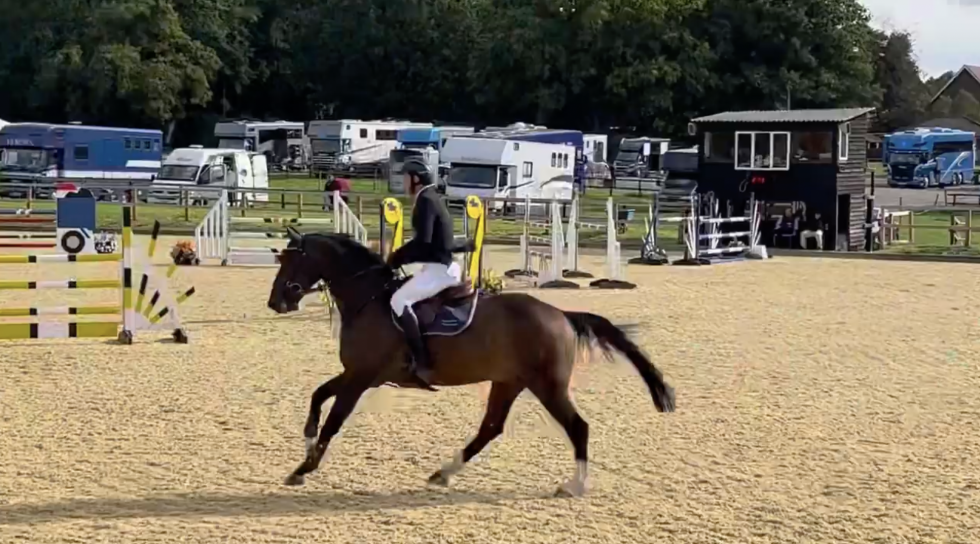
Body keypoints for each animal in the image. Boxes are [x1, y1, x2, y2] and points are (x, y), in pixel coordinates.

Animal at [267, 228, 675, 497]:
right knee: (490, 428)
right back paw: (444, 473)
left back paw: (574, 485)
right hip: (509, 382)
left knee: (577, 427)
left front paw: (304, 468)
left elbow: (334, 420)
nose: (276, 302)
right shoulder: (357, 373)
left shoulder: (361, 377)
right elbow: (318, 395)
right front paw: (306, 442)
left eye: (292, 260)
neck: (368, 299)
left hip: (547, 385)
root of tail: (560, 314)